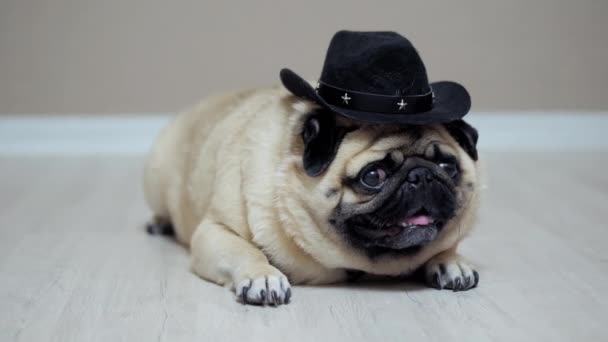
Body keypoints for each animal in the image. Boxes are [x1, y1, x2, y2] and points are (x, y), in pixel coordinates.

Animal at [144, 85, 480, 304]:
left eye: (446, 166)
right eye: (373, 176)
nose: (421, 175)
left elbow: (443, 246)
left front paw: (450, 261)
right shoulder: (215, 231)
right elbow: (246, 251)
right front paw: (263, 275)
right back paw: (159, 223)